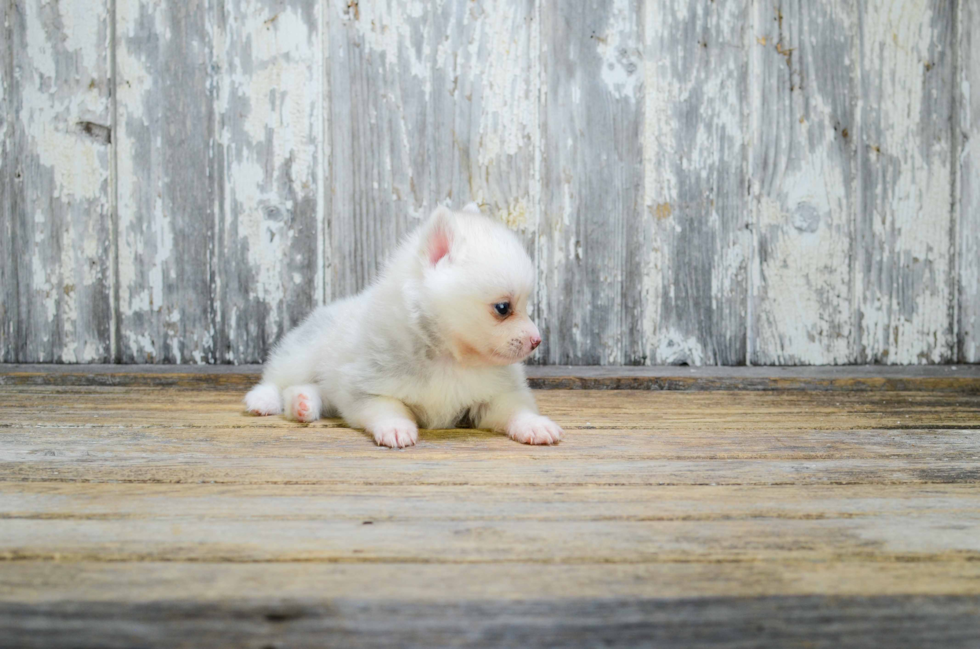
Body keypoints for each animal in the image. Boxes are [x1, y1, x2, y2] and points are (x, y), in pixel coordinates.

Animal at [245, 202, 564, 446]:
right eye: (503, 308)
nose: (537, 340)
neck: (449, 358)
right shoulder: (366, 388)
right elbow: (387, 407)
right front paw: (395, 427)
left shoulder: (494, 397)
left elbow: (515, 409)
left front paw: (534, 424)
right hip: (304, 354)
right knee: (278, 378)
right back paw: (266, 399)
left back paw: (302, 403)